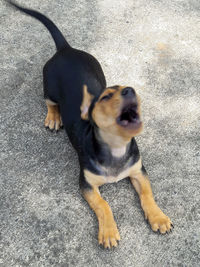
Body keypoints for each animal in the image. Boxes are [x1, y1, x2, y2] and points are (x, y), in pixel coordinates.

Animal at [7, 1, 173, 250]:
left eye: (126, 87)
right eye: (105, 98)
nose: (130, 90)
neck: (115, 148)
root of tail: (66, 49)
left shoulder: (139, 172)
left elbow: (147, 195)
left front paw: (158, 217)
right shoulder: (86, 185)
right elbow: (103, 204)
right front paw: (108, 232)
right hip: (49, 88)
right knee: (49, 103)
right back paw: (53, 118)